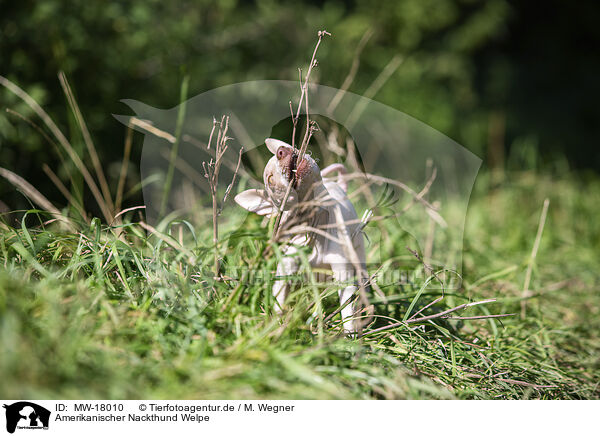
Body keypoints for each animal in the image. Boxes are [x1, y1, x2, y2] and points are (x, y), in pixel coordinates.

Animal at [234, 138, 366, 332]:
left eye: (290, 147)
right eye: (270, 179)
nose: (281, 151)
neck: (313, 225)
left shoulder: (343, 274)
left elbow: (348, 310)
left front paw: (350, 336)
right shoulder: (285, 269)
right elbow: (279, 300)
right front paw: (275, 327)